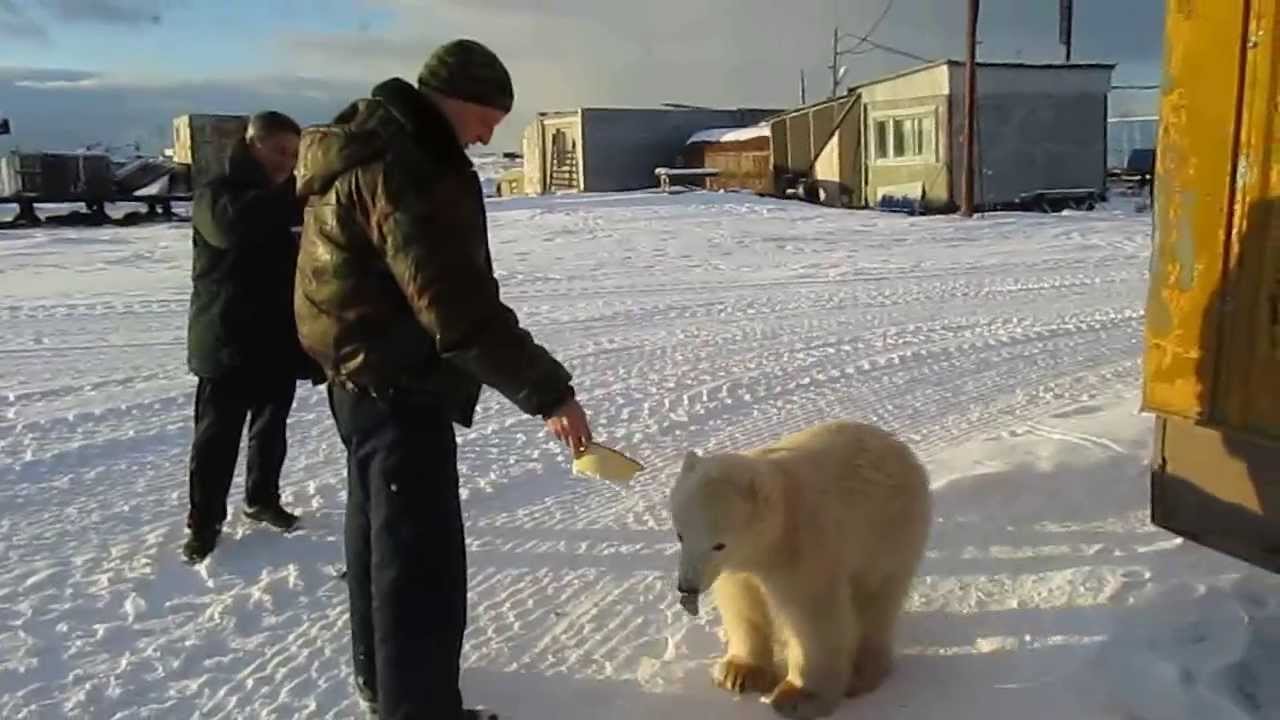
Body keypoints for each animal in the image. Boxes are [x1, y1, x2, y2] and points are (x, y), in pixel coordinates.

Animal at [670, 417, 931, 712]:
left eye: (718, 544)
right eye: (680, 534)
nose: (687, 586)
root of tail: (898, 446)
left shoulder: (805, 549)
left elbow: (813, 618)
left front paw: (796, 696)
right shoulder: (739, 568)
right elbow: (744, 604)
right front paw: (739, 673)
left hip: (886, 533)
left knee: (877, 600)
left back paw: (862, 673)